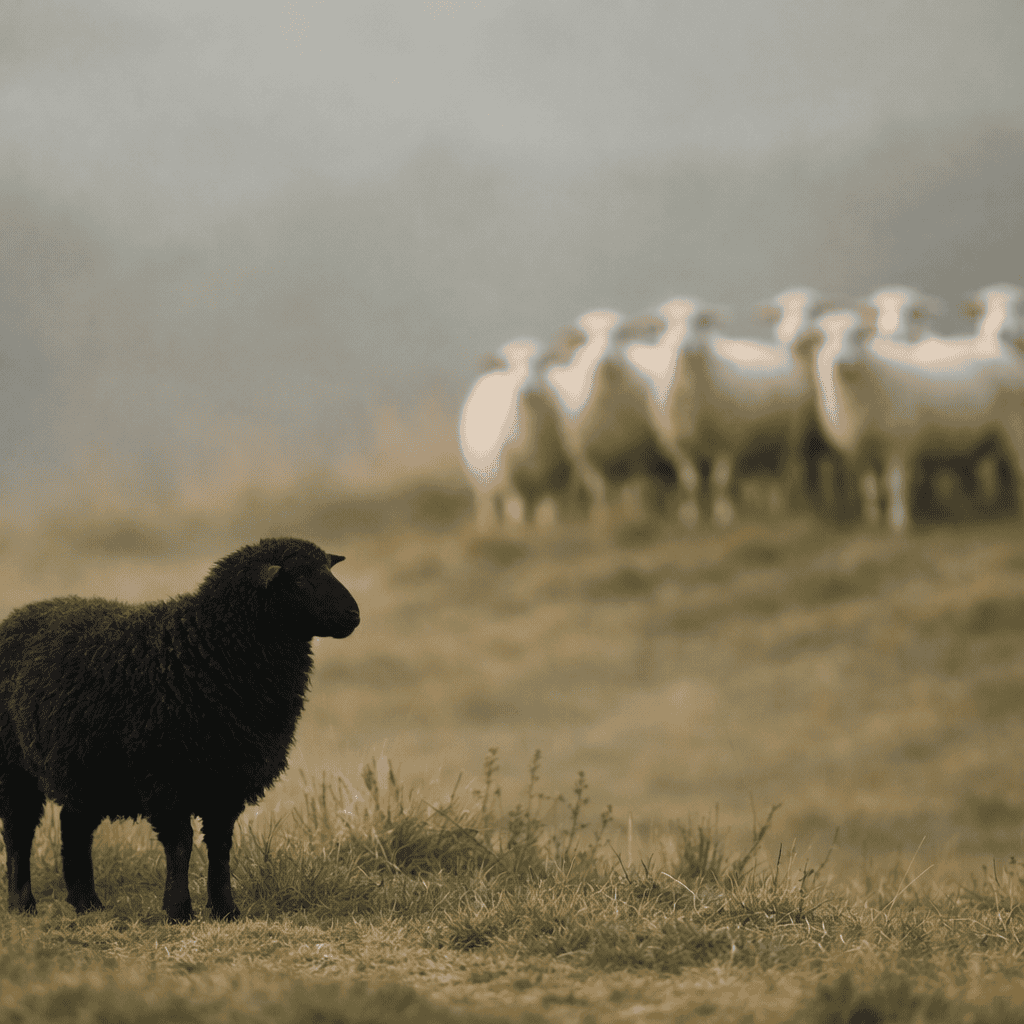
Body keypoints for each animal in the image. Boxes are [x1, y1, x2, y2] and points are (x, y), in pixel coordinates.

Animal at [0, 537, 360, 922]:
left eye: (327, 569)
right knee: (19, 831)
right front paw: (178, 910)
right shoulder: (165, 776)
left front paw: (225, 909)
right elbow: (181, 843)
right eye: (300, 577)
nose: (355, 615)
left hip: (88, 768)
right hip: (15, 767)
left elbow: (220, 845)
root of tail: (18, 615)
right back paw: (23, 904)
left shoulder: (227, 780)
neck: (204, 649)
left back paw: (88, 904)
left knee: (73, 826)